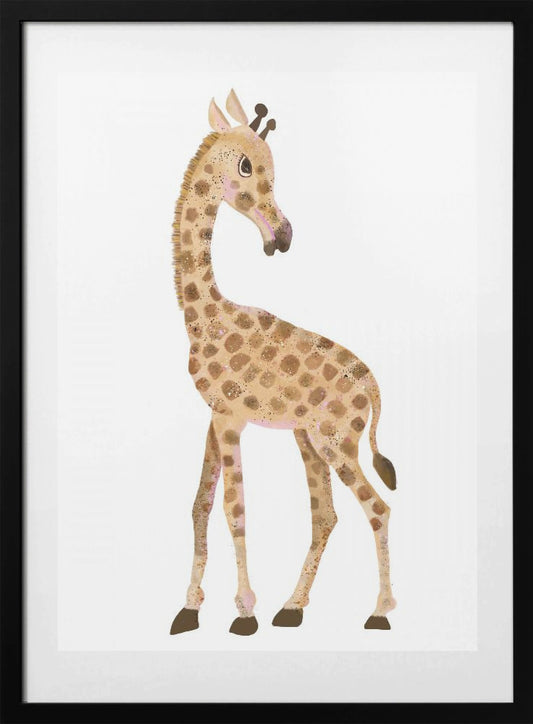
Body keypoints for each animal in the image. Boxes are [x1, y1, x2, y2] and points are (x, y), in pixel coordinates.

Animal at [169, 90, 397, 637]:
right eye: (246, 166)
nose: (284, 236)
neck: (202, 317)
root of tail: (373, 388)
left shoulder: (231, 418)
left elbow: (234, 510)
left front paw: (244, 612)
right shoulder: (215, 416)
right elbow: (200, 505)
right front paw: (188, 608)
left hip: (337, 441)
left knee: (378, 508)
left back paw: (379, 612)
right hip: (310, 438)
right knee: (327, 515)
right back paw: (292, 607)